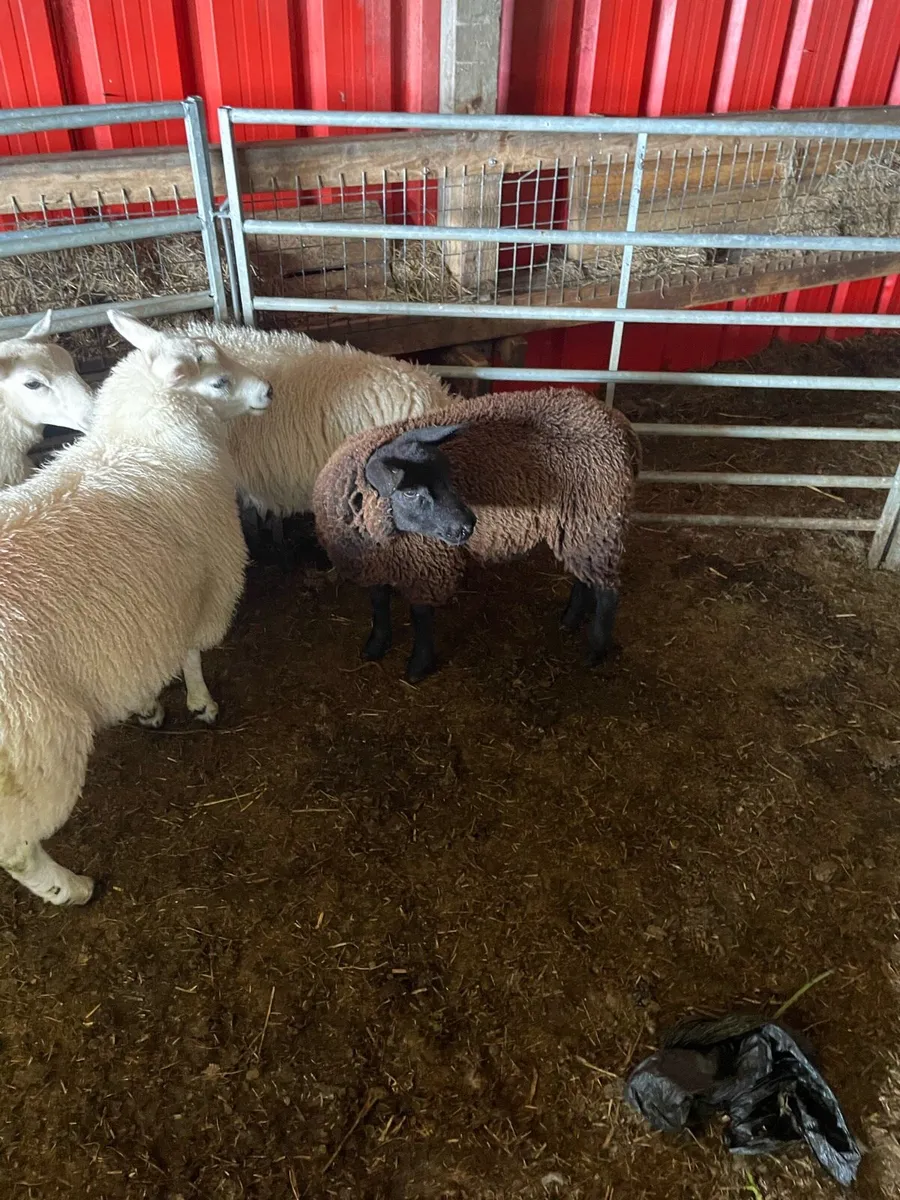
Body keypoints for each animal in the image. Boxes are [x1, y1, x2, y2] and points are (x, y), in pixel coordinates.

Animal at [312, 387, 640, 682]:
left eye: (447, 477)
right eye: (409, 491)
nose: (468, 525)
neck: (383, 535)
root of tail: (617, 422)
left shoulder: (428, 564)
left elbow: (420, 616)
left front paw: (419, 665)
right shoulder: (375, 563)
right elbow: (379, 604)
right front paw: (376, 645)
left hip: (597, 517)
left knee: (607, 590)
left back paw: (595, 650)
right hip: (580, 525)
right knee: (585, 574)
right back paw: (571, 619)